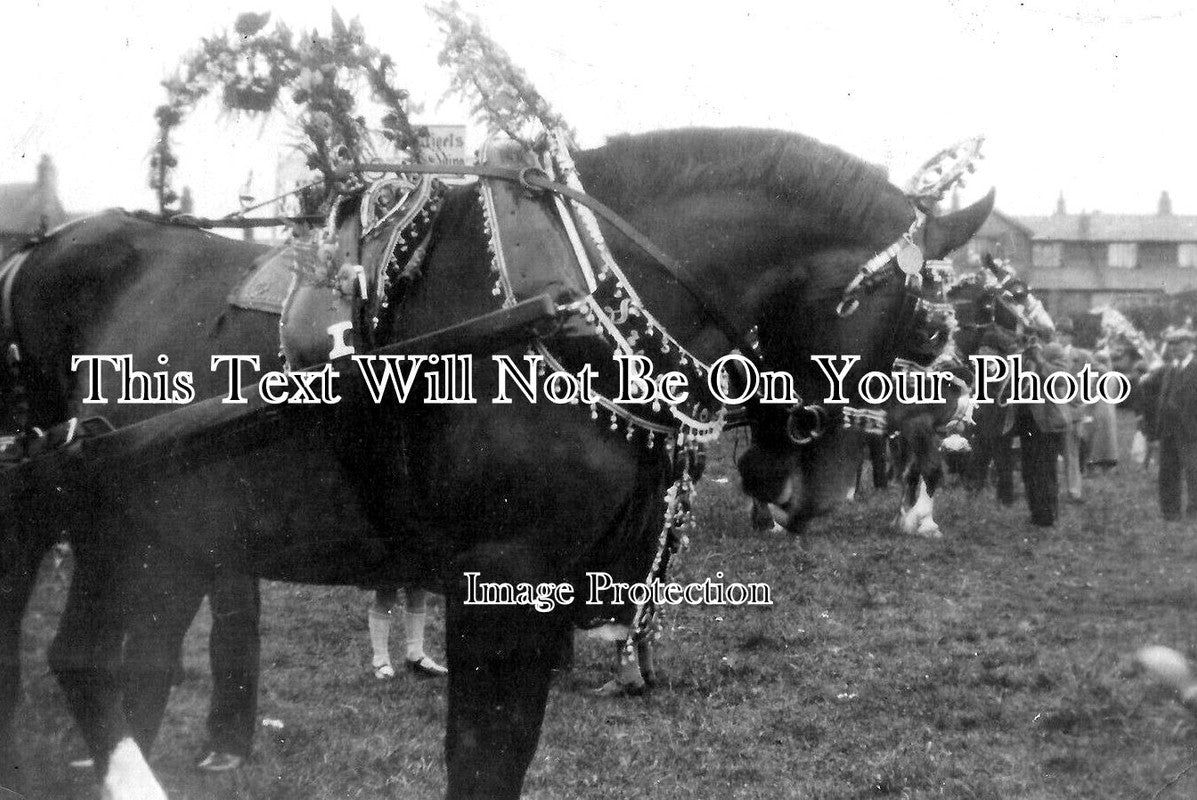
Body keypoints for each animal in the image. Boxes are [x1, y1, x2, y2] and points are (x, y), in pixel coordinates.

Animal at [0, 128, 991, 795]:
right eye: (921, 322)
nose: (806, 489)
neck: (569, 302)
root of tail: (45, 253)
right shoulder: (503, 584)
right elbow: (484, 756)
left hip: (147, 531)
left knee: (98, 665)